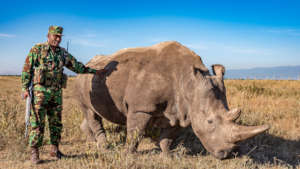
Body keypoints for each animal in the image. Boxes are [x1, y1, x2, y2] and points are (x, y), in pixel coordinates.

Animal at [74, 40, 268, 158]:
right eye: (210, 122)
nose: (227, 155)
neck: (189, 83)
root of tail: (90, 61)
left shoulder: (183, 111)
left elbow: (168, 137)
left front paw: (168, 155)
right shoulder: (141, 107)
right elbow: (136, 133)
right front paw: (128, 155)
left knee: (90, 113)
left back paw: (91, 142)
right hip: (85, 79)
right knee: (89, 111)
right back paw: (103, 147)